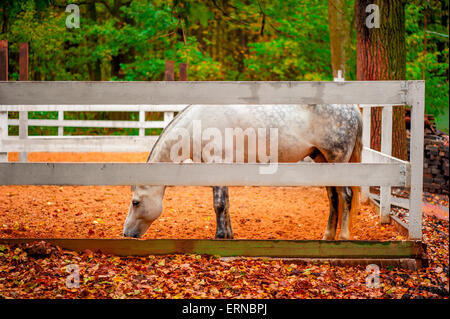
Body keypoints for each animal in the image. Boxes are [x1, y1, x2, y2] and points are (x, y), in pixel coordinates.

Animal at [123, 104, 362, 241]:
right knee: (333, 198)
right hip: (323, 161)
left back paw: (343, 237)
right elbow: (226, 203)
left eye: (135, 202)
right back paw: (327, 236)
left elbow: (219, 204)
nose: (126, 233)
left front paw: (220, 236)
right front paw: (228, 235)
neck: (196, 125)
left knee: (346, 196)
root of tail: (352, 109)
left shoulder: (217, 164)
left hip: (338, 161)